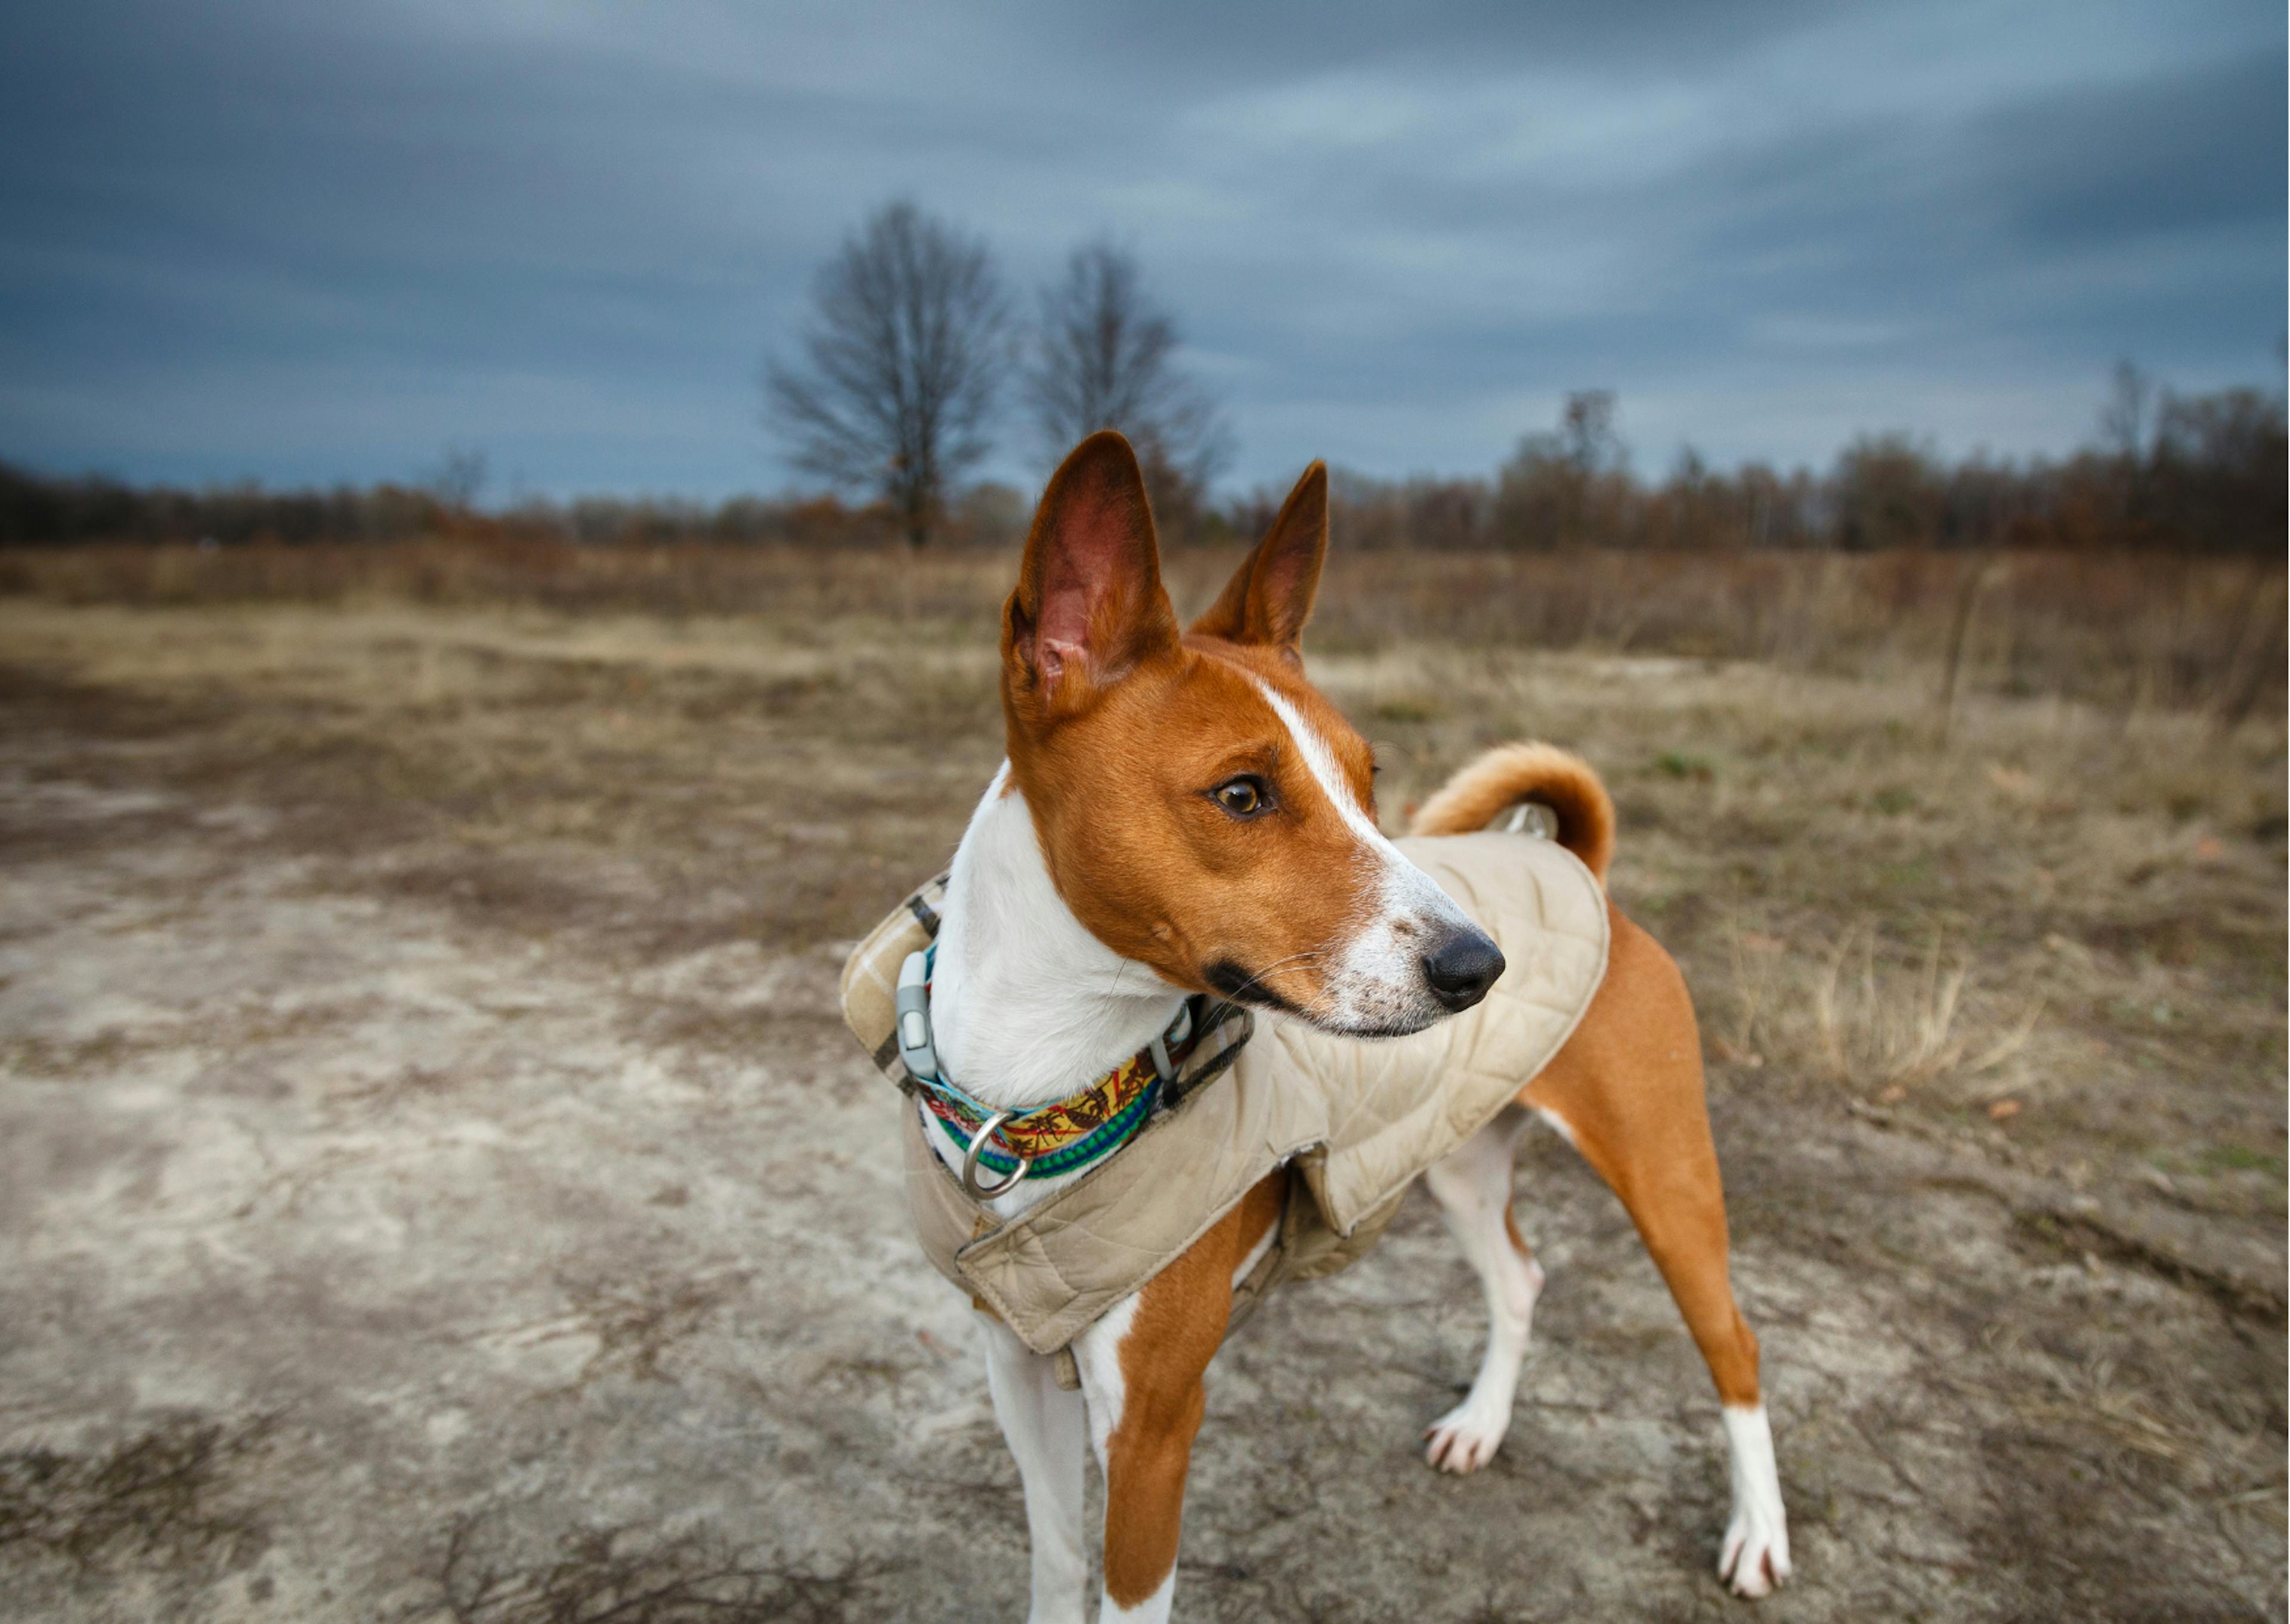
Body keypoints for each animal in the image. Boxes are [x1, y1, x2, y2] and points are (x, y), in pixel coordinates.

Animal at [911, 423, 1786, 1612]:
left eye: (1371, 783)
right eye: (1242, 794)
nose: (1480, 966)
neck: (1044, 1095)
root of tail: (1588, 873)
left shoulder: (1153, 1427)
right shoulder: (1020, 1367)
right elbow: (1055, 1564)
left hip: (1668, 1178)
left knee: (1735, 1344)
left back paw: (1759, 1533)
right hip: (1460, 1159)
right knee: (1521, 1277)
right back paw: (1480, 1425)